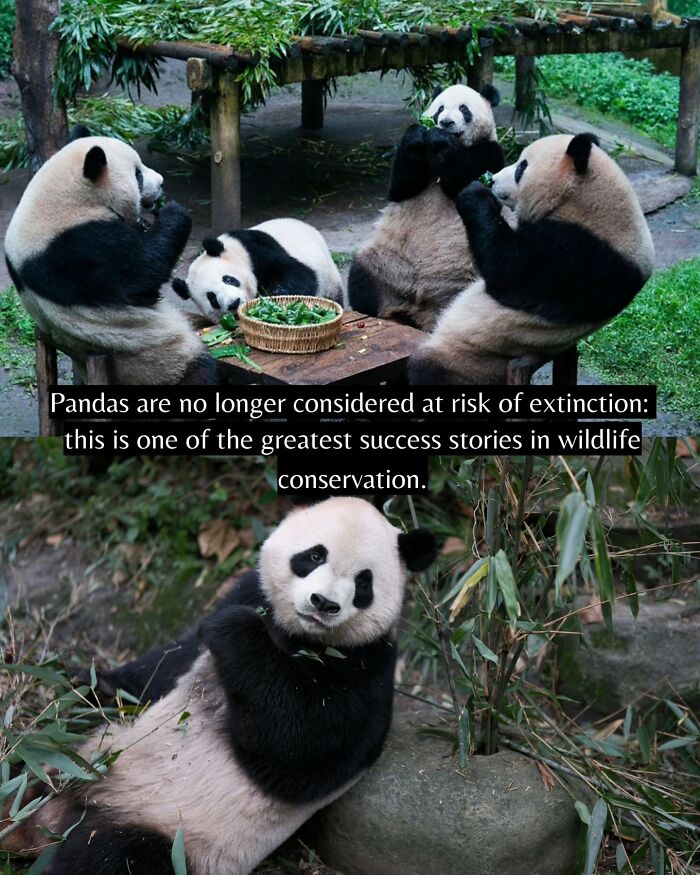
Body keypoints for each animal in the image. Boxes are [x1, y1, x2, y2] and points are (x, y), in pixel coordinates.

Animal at [4, 126, 217, 385]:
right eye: (138, 175)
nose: (161, 183)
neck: (69, 197)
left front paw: (146, 222)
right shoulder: (77, 248)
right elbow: (141, 273)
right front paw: (172, 211)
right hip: (157, 361)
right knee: (200, 371)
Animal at [10, 498, 437, 875]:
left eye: (364, 582)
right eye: (314, 556)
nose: (323, 602)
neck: (300, 635)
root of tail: (50, 819)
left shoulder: (366, 667)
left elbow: (300, 744)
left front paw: (235, 629)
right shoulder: (247, 593)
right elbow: (161, 668)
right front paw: (77, 678)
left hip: (168, 832)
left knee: (114, 858)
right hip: (81, 751)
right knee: (35, 752)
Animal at [172, 218, 344, 323]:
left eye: (228, 279)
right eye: (212, 298)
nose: (234, 303)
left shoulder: (254, 251)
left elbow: (298, 274)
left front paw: (269, 301)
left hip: (328, 279)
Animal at [347, 84, 505, 330]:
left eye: (464, 109)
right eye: (439, 108)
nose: (446, 122)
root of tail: (421, 310)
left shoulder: (490, 153)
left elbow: (461, 176)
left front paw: (442, 140)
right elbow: (402, 186)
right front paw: (416, 134)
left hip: (465, 276)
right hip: (384, 263)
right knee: (361, 278)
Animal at [408, 133, 655, 384]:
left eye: (521, 167)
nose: (494, 180)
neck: (589, 202)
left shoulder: (581, 256)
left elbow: (508, 274)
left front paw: (475, 193)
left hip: (468, 359)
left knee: (429, 369)